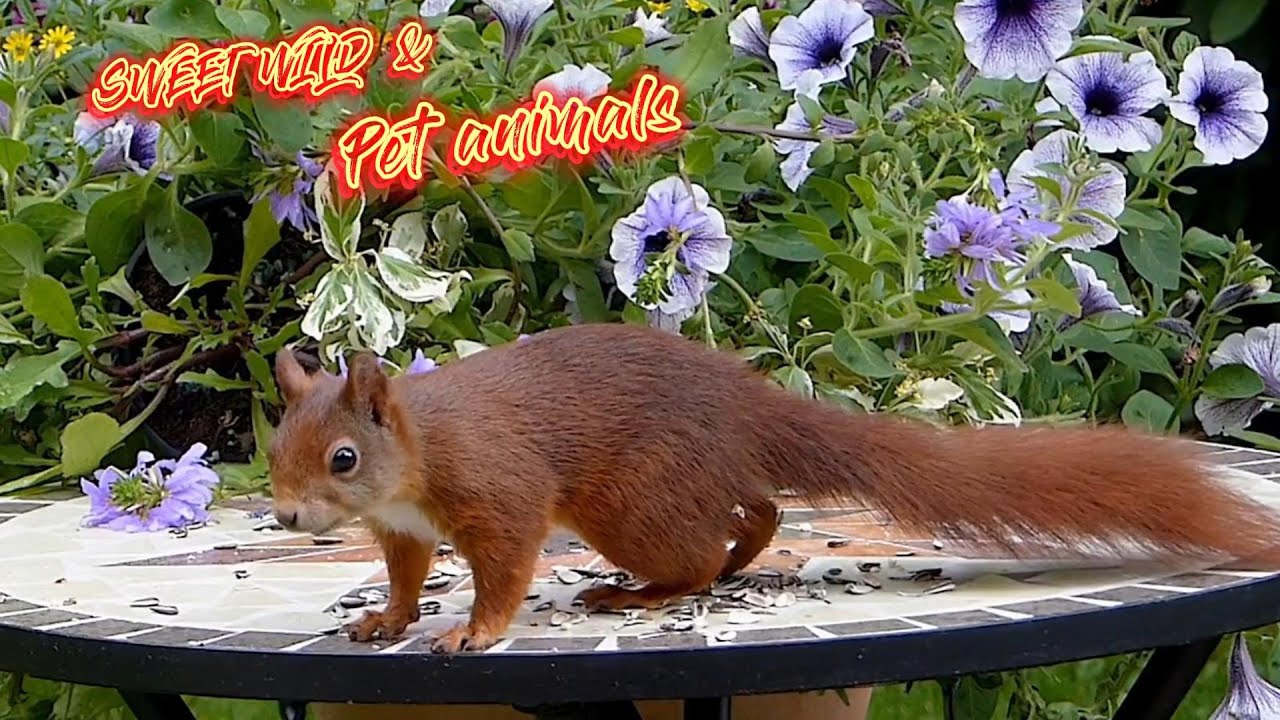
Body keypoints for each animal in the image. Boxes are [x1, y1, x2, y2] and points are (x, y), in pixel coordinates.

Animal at [268, 322, 1280, 653]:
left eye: (344, 459)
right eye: (276, 445)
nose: (283, 515)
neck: (419, 451)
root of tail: (746, 404)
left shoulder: (498, 491)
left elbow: (507, 568)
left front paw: (472, 632)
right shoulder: (406, 527)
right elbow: (406, 576)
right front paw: (387, 619)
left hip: (630, 503)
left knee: (703, 544)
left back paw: (644, 592)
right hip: (678, 488)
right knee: (756, 510)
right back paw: (731, 558)